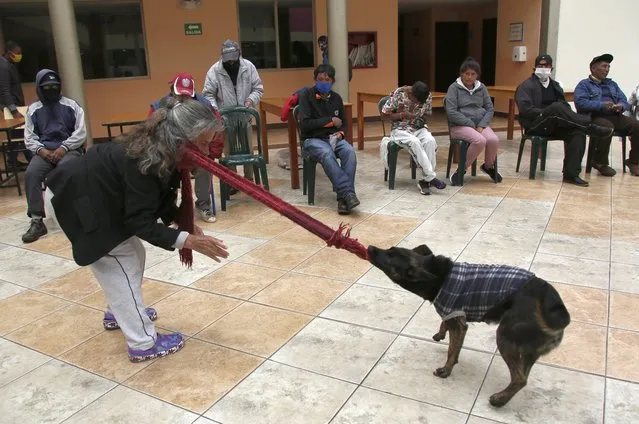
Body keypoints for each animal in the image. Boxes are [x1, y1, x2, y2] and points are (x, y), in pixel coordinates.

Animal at [368, 243, 572, 406]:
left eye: (389, 257)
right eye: (389, 249)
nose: (370, 247)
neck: (439, 276)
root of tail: (554, 305)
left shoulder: (457, 320)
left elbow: (452, 350)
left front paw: (446, 370)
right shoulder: (455, 317)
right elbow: (450, 334)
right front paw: (441, 335)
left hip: (506, 337)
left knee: (520, 379)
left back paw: (498, 400)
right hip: (530, 350)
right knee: (523, 375)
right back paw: (505, 398)